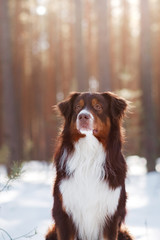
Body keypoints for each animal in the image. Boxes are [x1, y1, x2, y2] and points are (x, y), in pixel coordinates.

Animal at [45, 92, 133, 240]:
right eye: (77, 107)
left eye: (98, 106)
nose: (83, 116)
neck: (89, 153)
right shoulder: (64, 213)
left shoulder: (111, 216)